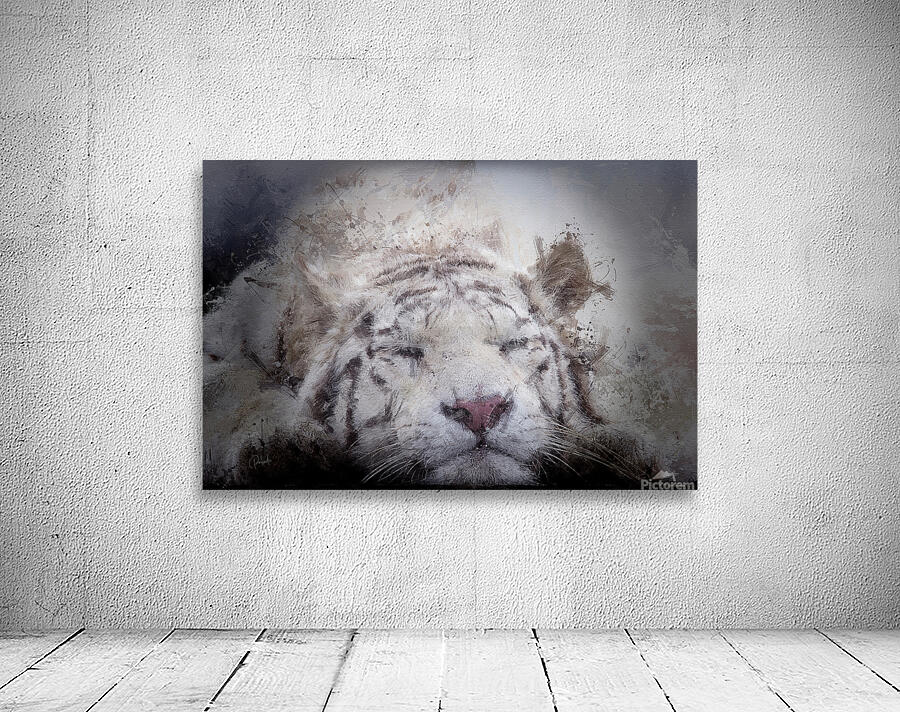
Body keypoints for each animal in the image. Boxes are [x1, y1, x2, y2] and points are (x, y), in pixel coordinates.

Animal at [202, 164, 665, 488]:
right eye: (405, 351)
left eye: (514, 344)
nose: (480, 410)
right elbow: (231, 389)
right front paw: (281, 446)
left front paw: (617, 449)